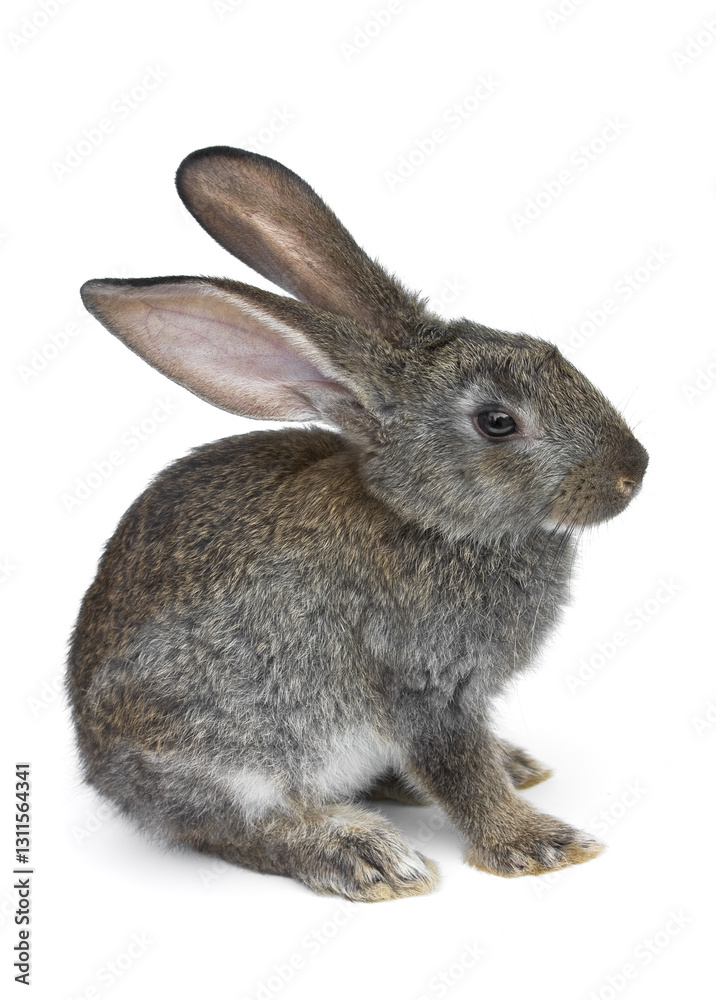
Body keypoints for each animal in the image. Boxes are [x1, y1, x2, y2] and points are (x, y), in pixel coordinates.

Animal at [68, 145, 648, 902]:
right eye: (497, 422)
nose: (634, 472)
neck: (427, 518)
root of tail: (101, 768)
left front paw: (515, 786)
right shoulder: (423, 684)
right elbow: (459, 772)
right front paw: (541, 845)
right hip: (228, 751)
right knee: (236, 829)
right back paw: (364, 854)